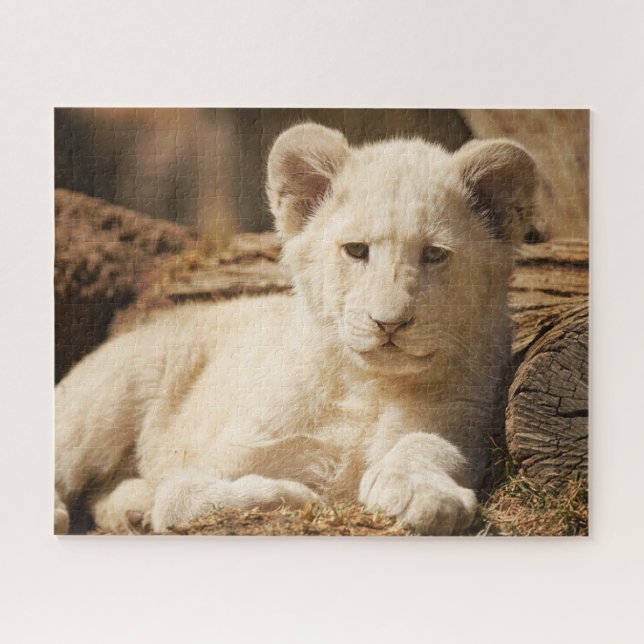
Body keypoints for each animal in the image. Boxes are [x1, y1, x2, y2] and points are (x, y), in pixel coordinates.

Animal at [54, 123, 536, 536]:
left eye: (435, 254)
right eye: (355, 250)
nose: (389, 323)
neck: (365, 386)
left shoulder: (462, 420)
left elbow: (428, 445)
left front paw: (424, 494)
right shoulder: (225, 454)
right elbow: (180, 493)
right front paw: (293, 496)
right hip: (108, 396)